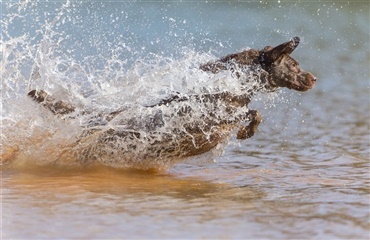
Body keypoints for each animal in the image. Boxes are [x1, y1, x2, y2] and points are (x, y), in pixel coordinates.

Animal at [2, 37, 316, 169]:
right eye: (294, 64)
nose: (314, 78)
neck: (232, 83)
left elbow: (254, 113)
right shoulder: (215, 117)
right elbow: (252, 113)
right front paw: (246, 131)